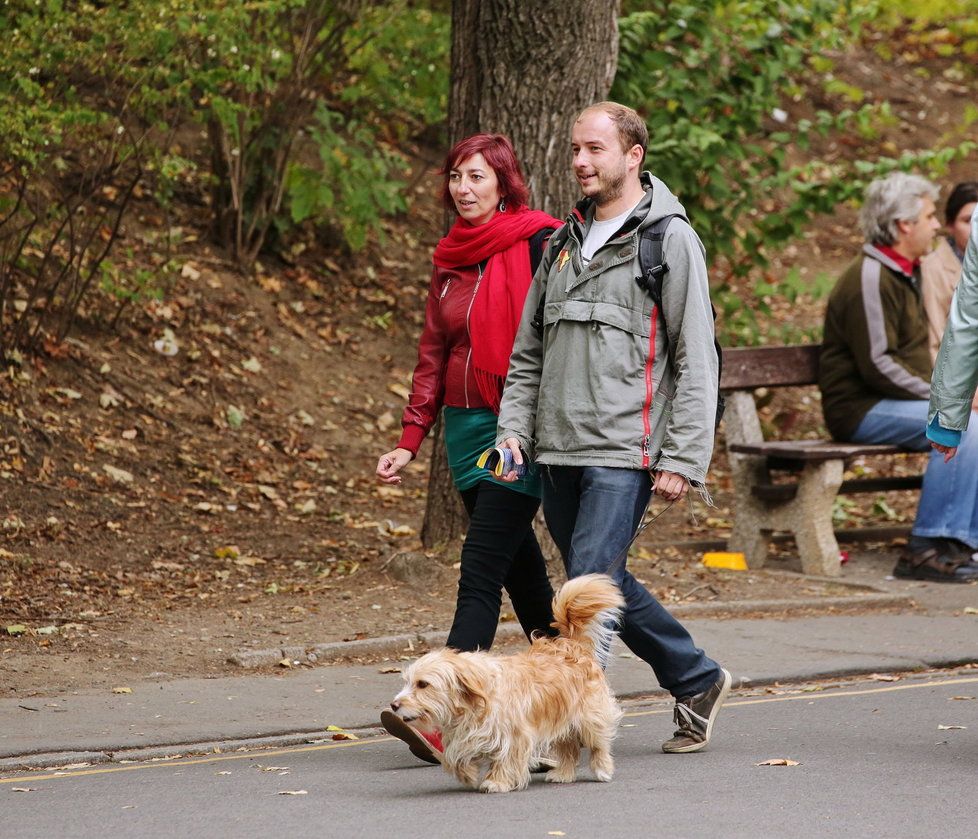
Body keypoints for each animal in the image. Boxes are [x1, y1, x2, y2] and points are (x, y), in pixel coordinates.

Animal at [386, 576, 620, 796]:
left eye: (423, 684)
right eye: (407, 682)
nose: (394, 705)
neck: (472, 700)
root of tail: (571, 645)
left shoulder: (515, 736)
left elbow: (505, 759)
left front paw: (496, 782)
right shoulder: (465, 734)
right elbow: (455, 756)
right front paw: (467, 773)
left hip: (590, 716)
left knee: (598, 744)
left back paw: (602, 769)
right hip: (562, 718)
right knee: (568, 747)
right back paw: (563, 773)